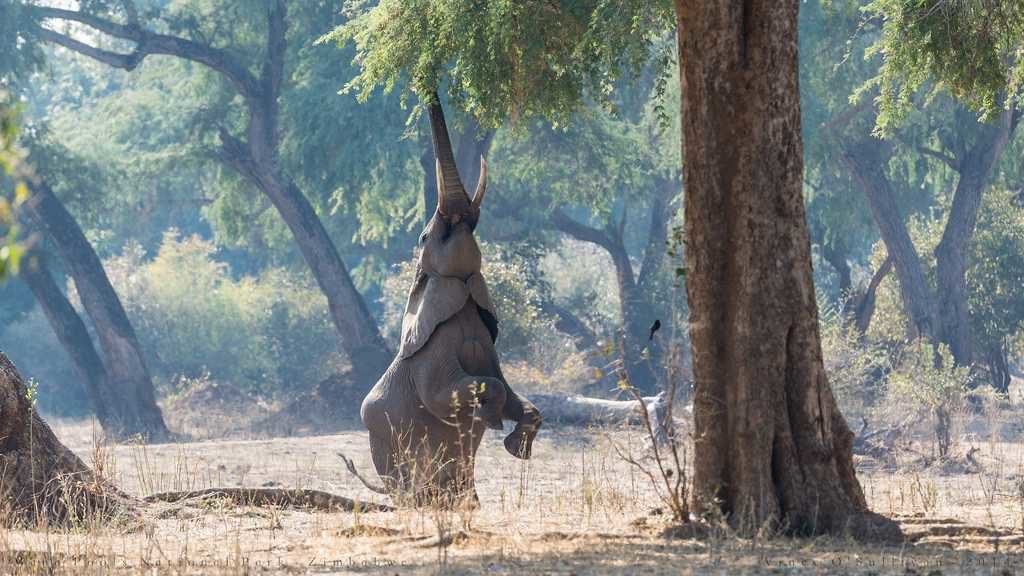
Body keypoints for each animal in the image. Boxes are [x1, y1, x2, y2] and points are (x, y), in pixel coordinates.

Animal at [356, 100, 540, 504]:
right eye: (426, 237)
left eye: (472, 229)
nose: (462, 217)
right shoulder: (431, 357)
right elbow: (448, 395)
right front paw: (489, 418)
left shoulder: (488, 343)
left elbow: (514, 394)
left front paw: (514, 443)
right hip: (383, 442)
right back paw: (423, 500)